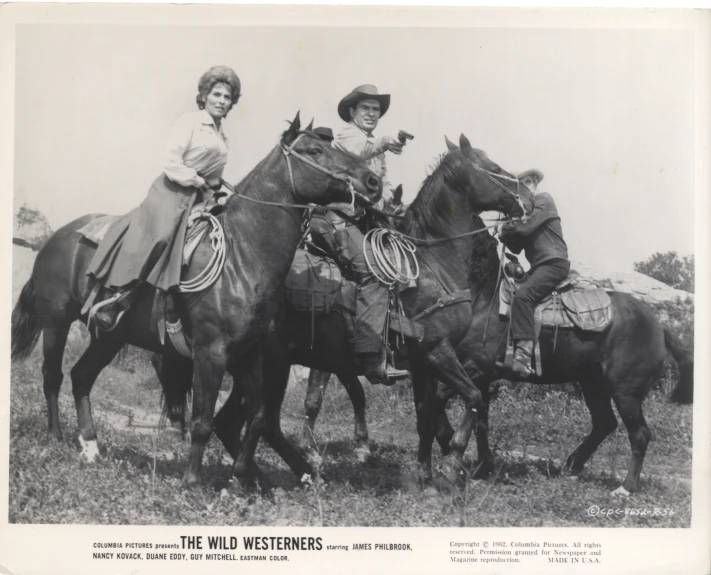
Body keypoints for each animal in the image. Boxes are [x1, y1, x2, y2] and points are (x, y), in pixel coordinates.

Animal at [9, 113, 384, 490]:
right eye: (314, 150)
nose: (373, 181)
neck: (241, 255)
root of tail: (55, 237)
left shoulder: (252, 353)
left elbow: (259, 416)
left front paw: (241, 477)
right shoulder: (211, 352)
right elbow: (204, 421)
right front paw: (192, 481)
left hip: (109, 337)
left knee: (81, 377)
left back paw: (90, 446)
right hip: (56, 324)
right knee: (53, 376)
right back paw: (56, 437)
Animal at [152, 135, 528, 486]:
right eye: (492, 167)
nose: (525, 196)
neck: (430, 266)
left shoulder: (424, 363)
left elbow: (426, 417)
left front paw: (425, 477)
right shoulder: (437, 352)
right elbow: (473, 398)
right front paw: (451, 466)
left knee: (235, 422)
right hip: (265, 363)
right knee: (251, 421)